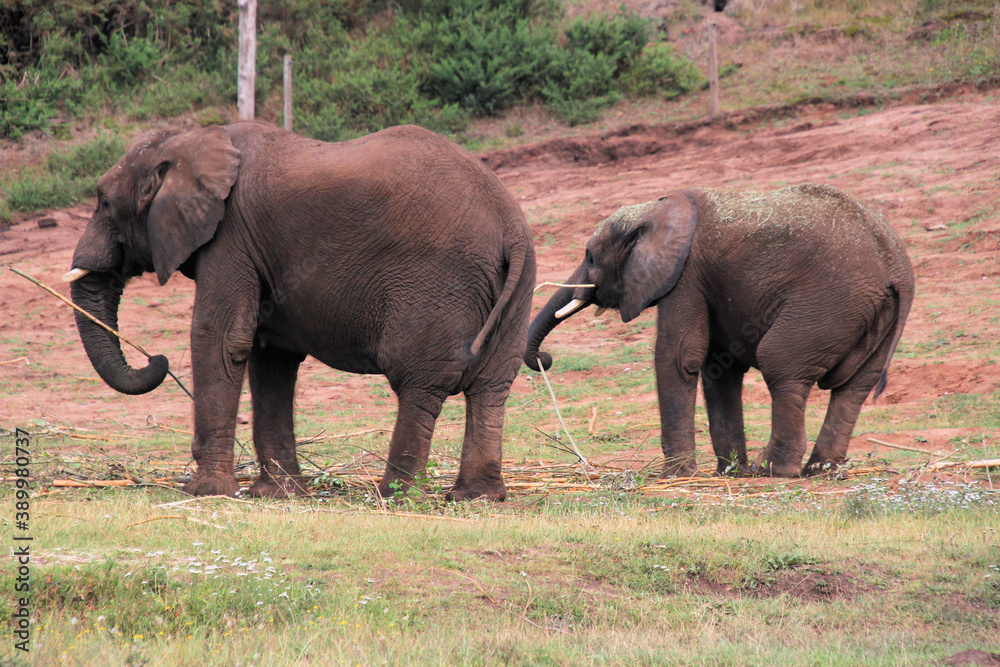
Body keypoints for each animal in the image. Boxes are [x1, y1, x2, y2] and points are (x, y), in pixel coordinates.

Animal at [64, 121, 536, 501]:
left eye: (104, 203)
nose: (155, 359)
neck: (192, 139)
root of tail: (508, 225)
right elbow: (269, 355)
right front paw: (278, 494)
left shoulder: (230, 238)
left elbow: (220, 339)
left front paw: (207, 492)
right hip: (519, 283)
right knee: (492, 386)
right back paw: (475, 497)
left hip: (435, 285)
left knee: (419, 384)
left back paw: (393, 496)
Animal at [524, 184, 914, 478]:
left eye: (590, 257)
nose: (545, 357)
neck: (658, 208)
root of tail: (895, 265)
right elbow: (719, 368)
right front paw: (728, 473)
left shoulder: (685, 273)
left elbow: (679, 356)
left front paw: (675, 476)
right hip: (871, 316)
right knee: (854, 387)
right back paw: (820, 472)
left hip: (827, 303)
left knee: (781, 365)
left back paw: (772, 470)